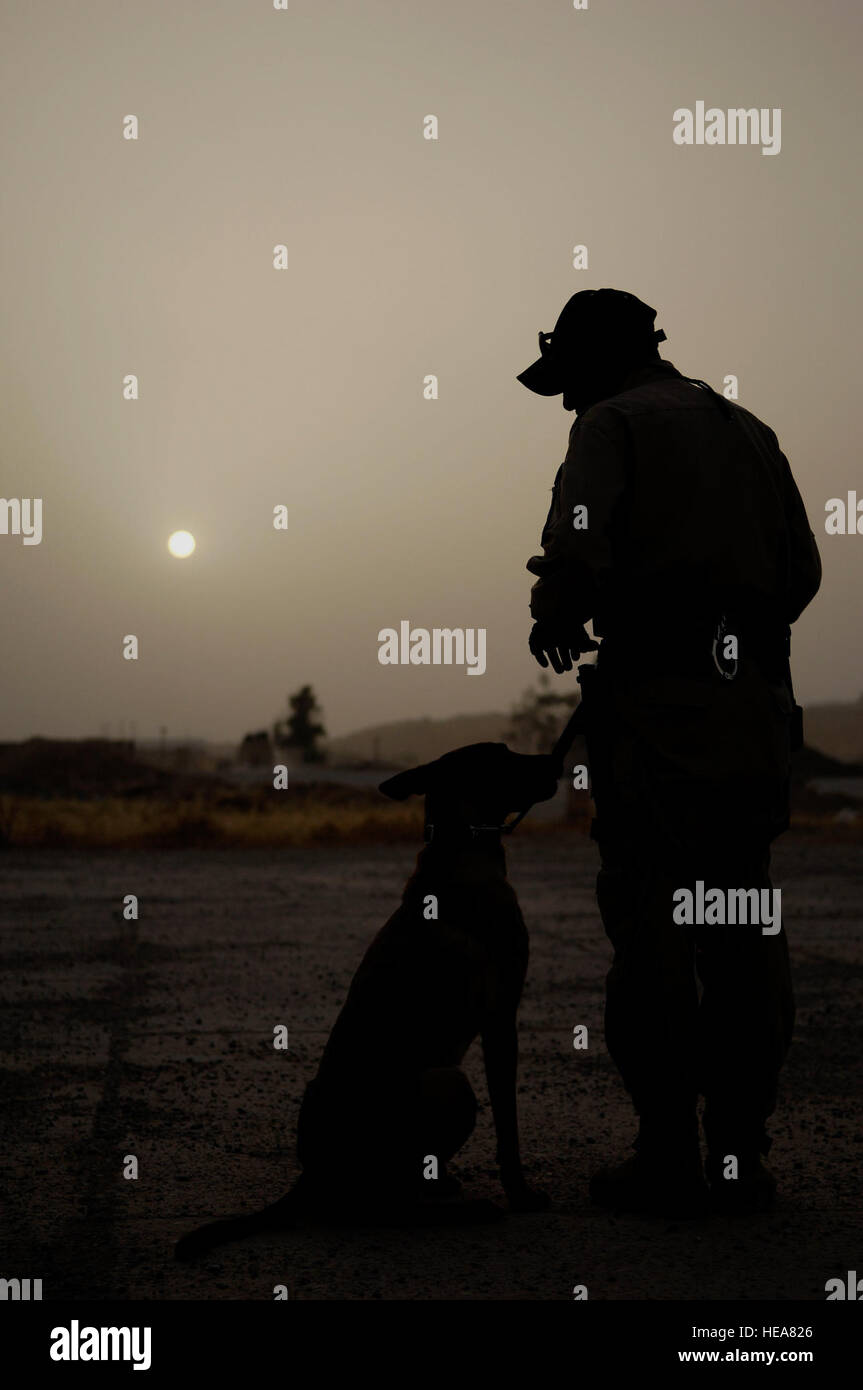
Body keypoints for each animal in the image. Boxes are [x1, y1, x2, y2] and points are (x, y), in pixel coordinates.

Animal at [175, 750, 558, 1262]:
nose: (555, 761)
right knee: (386, 1207)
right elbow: (508, 1125)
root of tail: (312, 1176)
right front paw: (520, 1193)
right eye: (504, 757)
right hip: (448, 1082)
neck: (461, 843)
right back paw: (464, 1210)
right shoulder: (501, 1020)